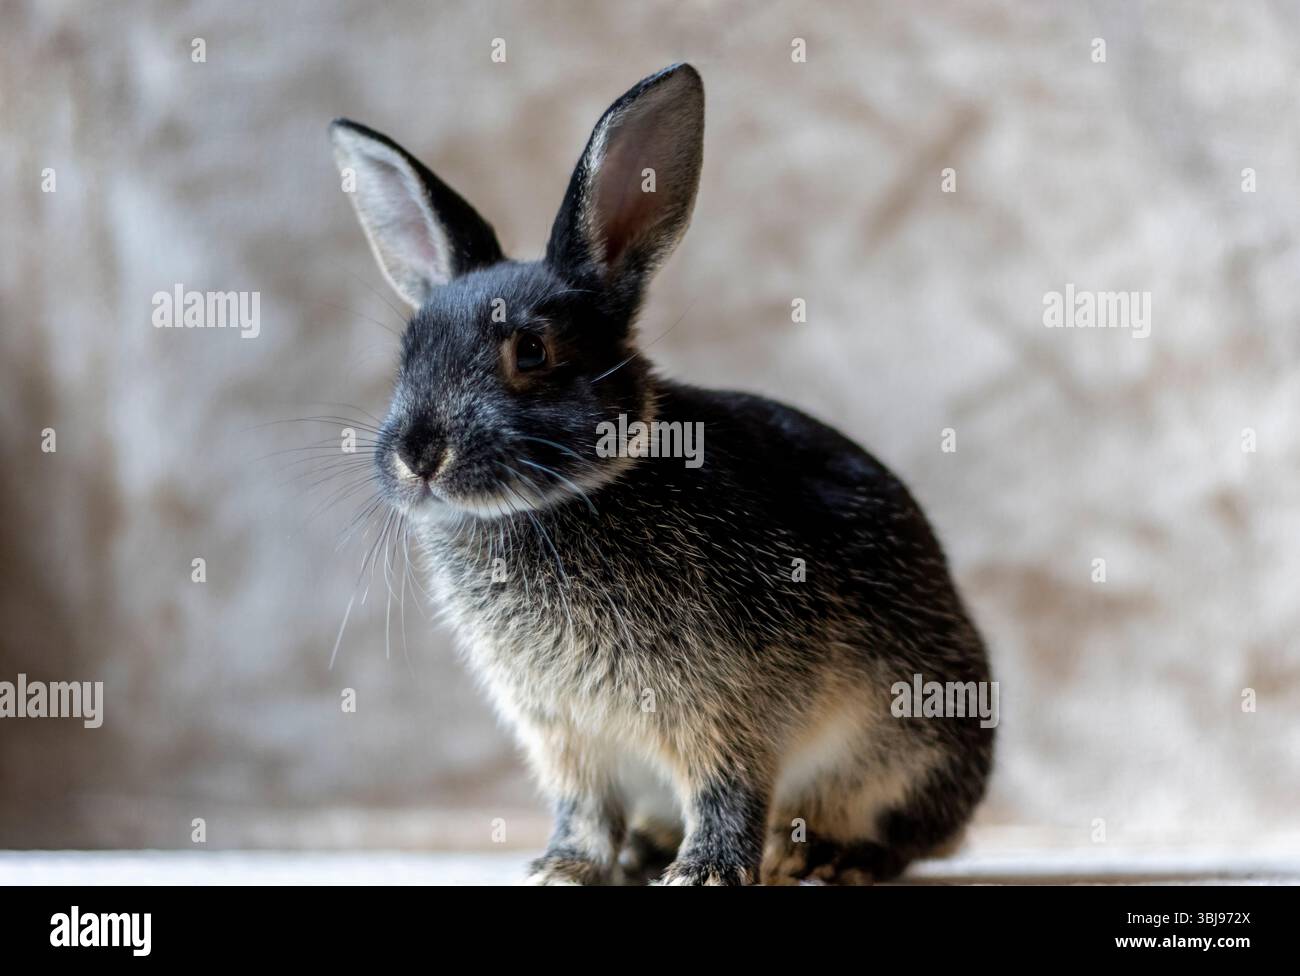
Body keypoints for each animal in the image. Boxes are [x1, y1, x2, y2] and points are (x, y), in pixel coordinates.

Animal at [329, 63, 994, 885]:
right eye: (408, 353)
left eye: (532, 352)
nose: (418, 457)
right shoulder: (565, 736)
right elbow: (584, 806)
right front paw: (563, 867)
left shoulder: (731, 708)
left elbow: (728, 789)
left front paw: (704, 872)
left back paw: (819, 859)